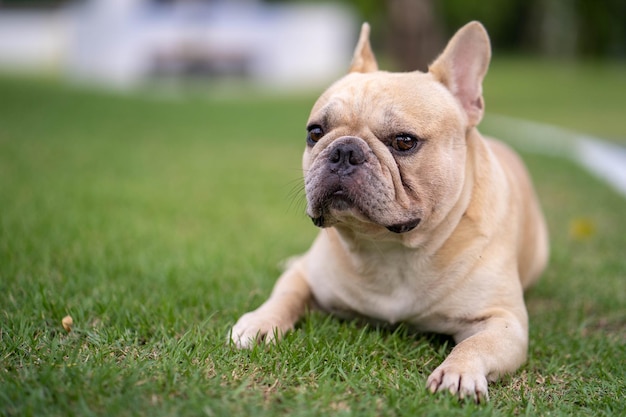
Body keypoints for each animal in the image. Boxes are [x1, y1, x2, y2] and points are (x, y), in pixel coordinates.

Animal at [229, 22, 544, 400]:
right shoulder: (306, 276)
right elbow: (285, 294)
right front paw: (259, 322)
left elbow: (475, 345)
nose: (344, 151)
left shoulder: (502, 321)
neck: (390, 249)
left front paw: (458, 372)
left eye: (404, 141)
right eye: (315, 132)